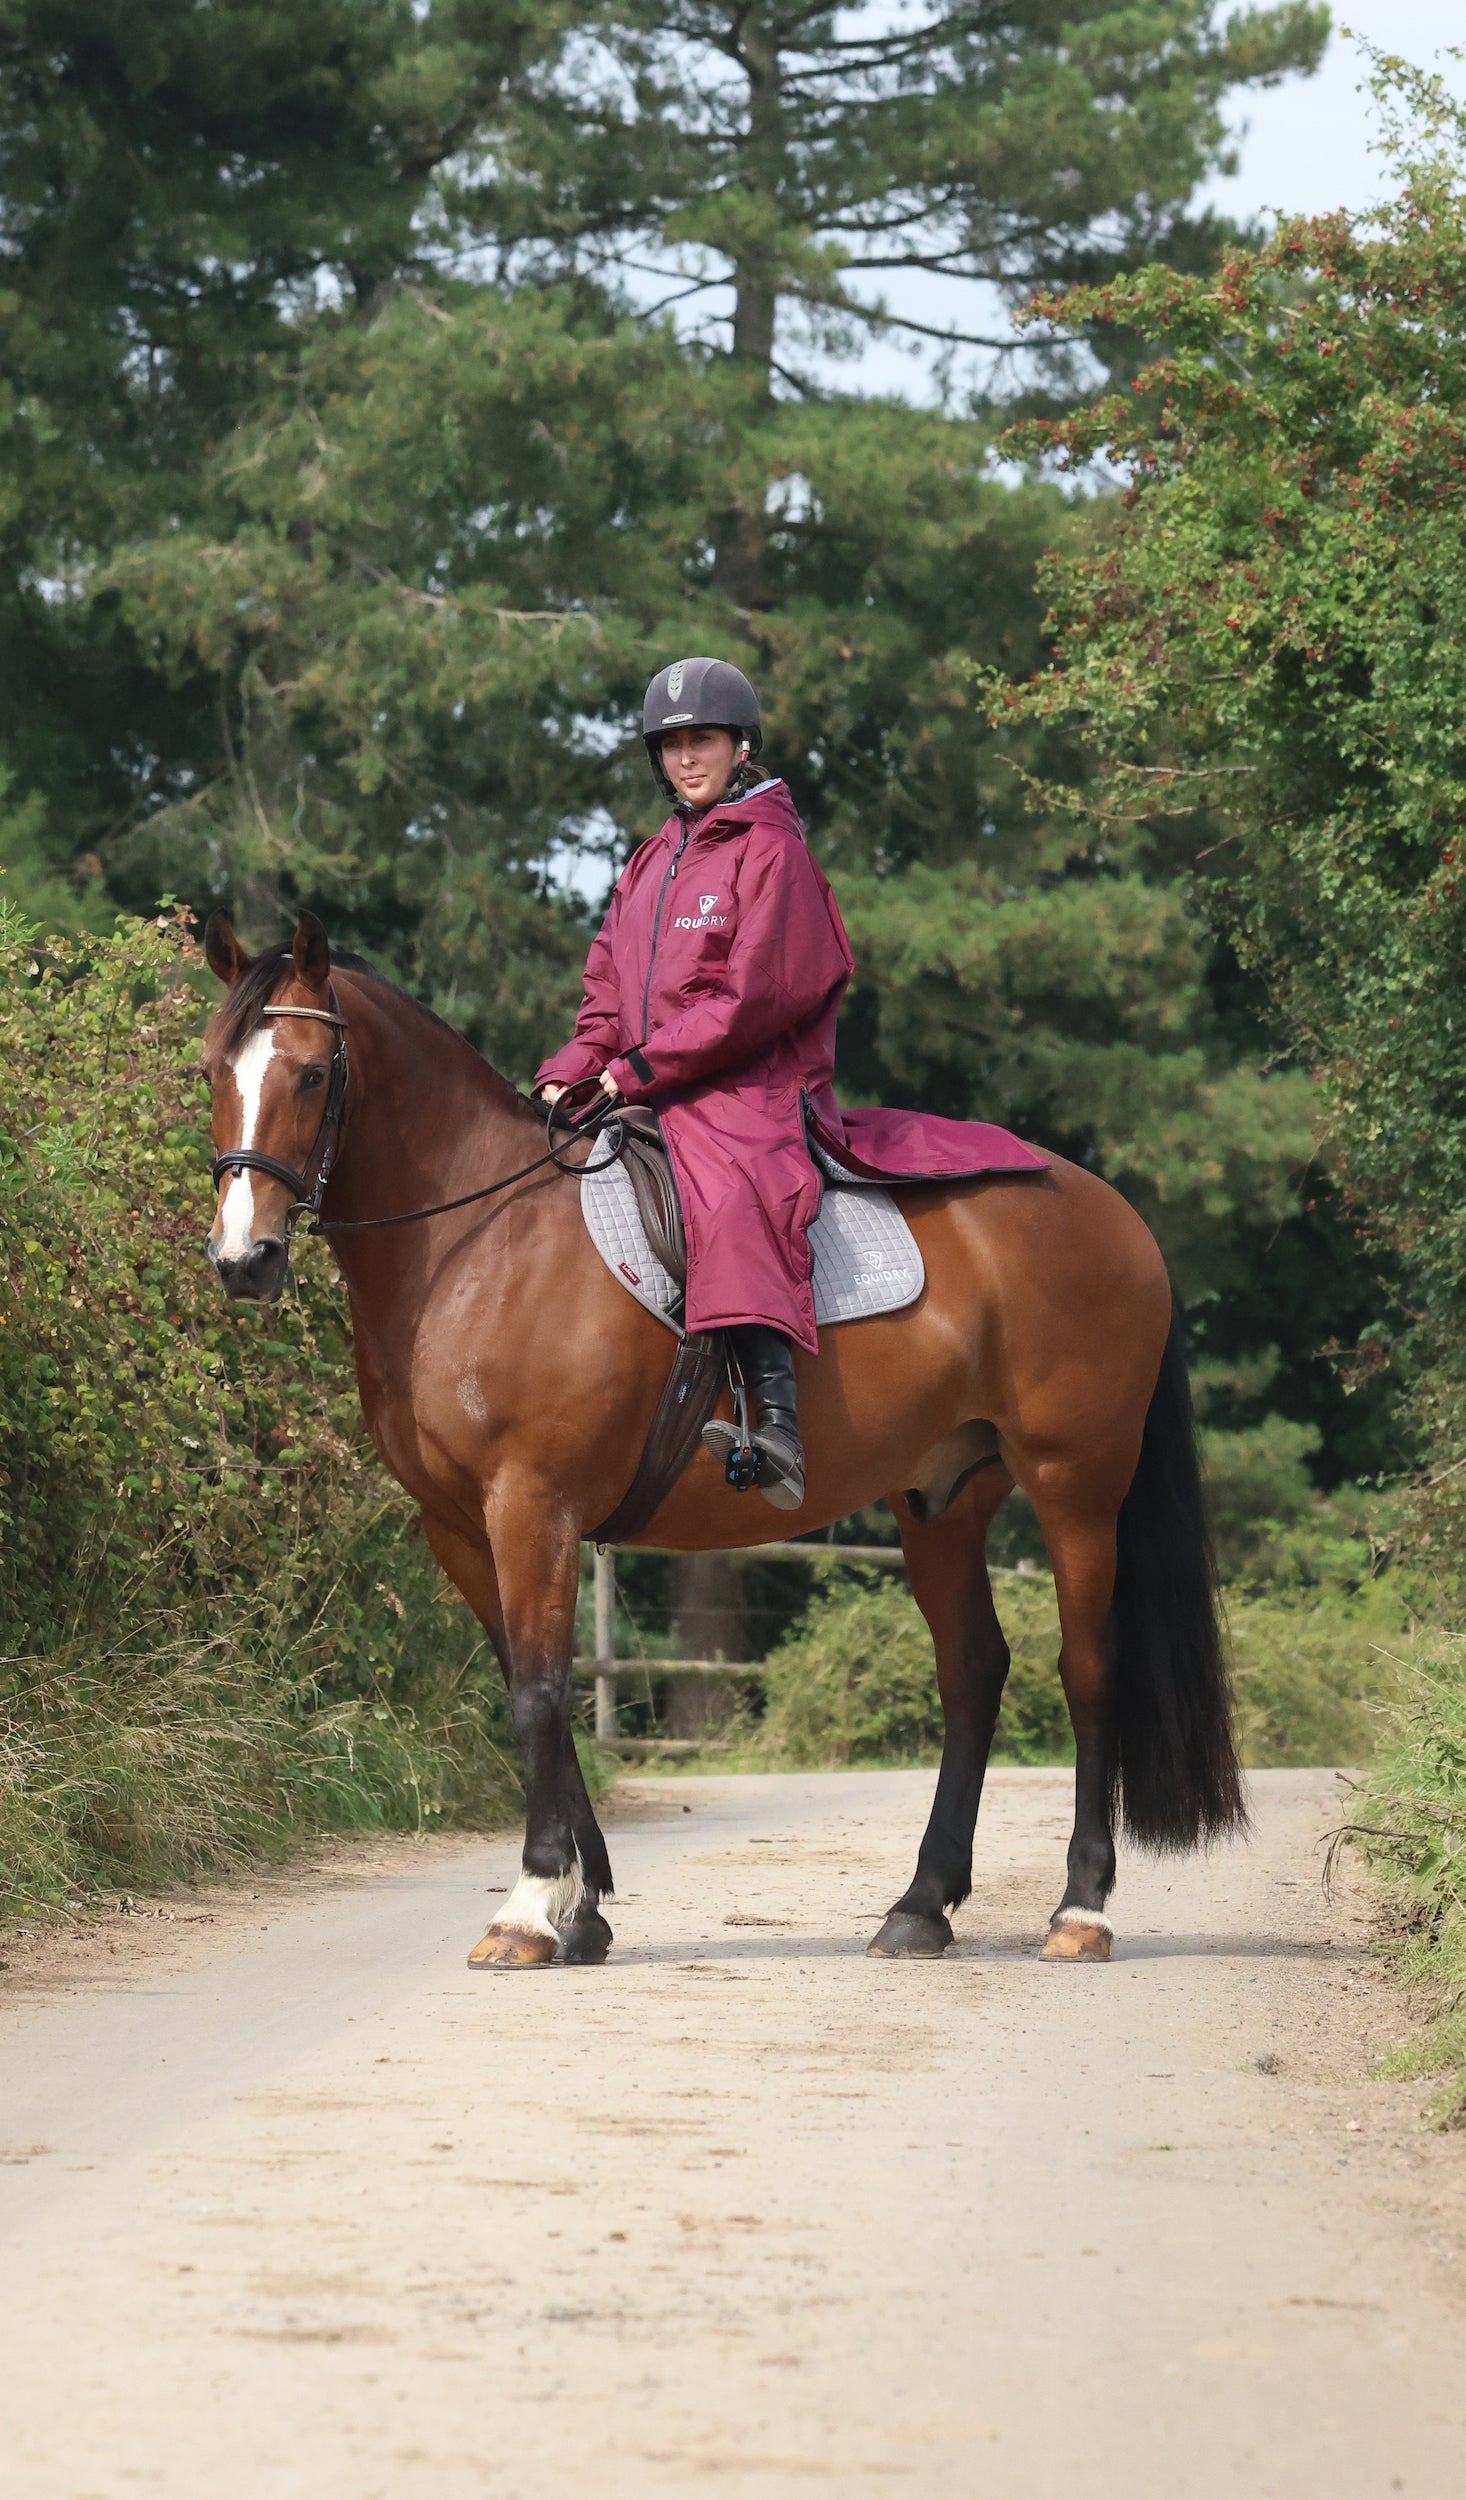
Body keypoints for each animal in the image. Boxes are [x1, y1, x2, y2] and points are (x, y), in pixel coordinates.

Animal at [200, 912, 1244, 1970]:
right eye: (212, 1071)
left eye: (312, 1076)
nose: (244, 1260)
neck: (480, 1240)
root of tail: (1111, 1210)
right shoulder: (458, 1528)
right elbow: (535, 1695)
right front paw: (584, 1908)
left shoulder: (532, 1507)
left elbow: (539, 1693)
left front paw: (530, 1906)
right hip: (942, 1500)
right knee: (973, 1671)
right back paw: (921, 1905)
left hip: (1075, 1484)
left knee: (1088, 1667)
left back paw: (1080, 1910)